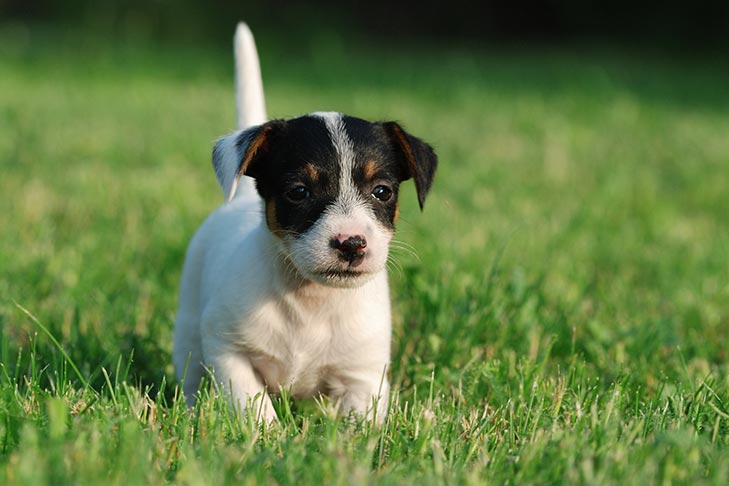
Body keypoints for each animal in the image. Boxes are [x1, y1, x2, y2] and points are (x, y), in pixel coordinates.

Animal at [173, 22, 436, 422]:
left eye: (382, 191)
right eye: (298, 191)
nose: (351, 243)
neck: (311, 301)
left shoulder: (363, 376)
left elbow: (361, 424)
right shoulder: (228, 351)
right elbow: (252, 404)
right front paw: (264, 434)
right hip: (188, 325)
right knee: (188, 372)